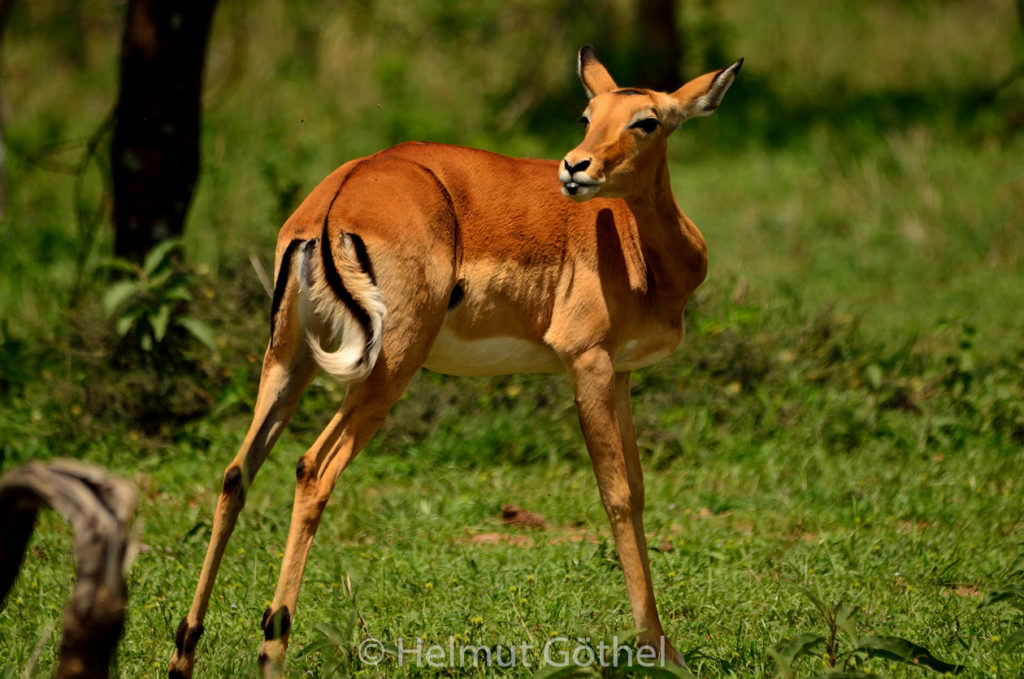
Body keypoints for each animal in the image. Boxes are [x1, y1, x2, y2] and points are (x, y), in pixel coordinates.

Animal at [169, 46, 742, 678]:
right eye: (588, 115)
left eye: (646, 120)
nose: (575, 168)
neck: (636, 248)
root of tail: (334, 200)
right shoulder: (588, 362)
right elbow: (616, 494)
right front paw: (658, 652)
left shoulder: (621, 373)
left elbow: (638, 490)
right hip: (390, 365)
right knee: (313, 469)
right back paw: (272, 648)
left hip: (288, 362)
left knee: (236, 473)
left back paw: (184, 652)